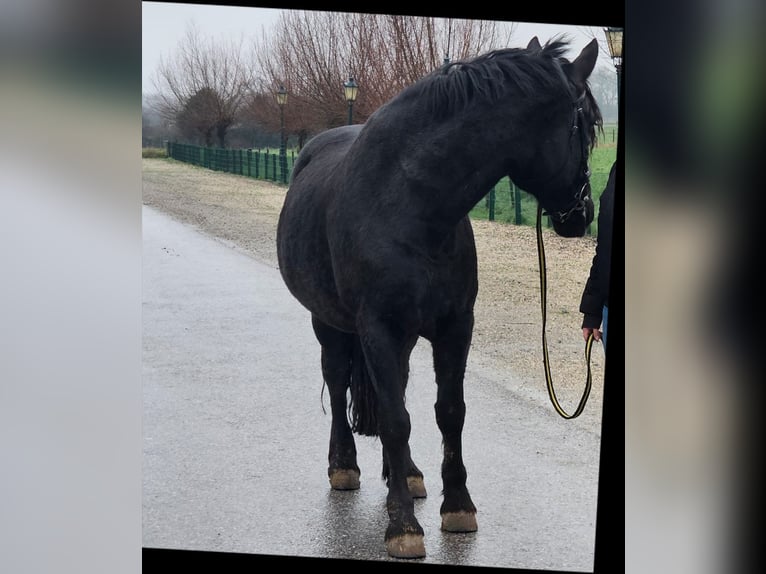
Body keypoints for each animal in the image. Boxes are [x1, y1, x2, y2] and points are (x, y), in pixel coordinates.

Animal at [276, 37, 603, 559]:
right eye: (587, 127)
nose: (583, 213)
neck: (409, 203)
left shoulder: (454, 327)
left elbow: (447, 413)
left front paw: (458, 506)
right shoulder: (379, 329)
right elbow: (395, 420)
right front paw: (403, 527)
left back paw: (406, 474)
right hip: (330, 325)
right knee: (339, 379)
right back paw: (344, 465)